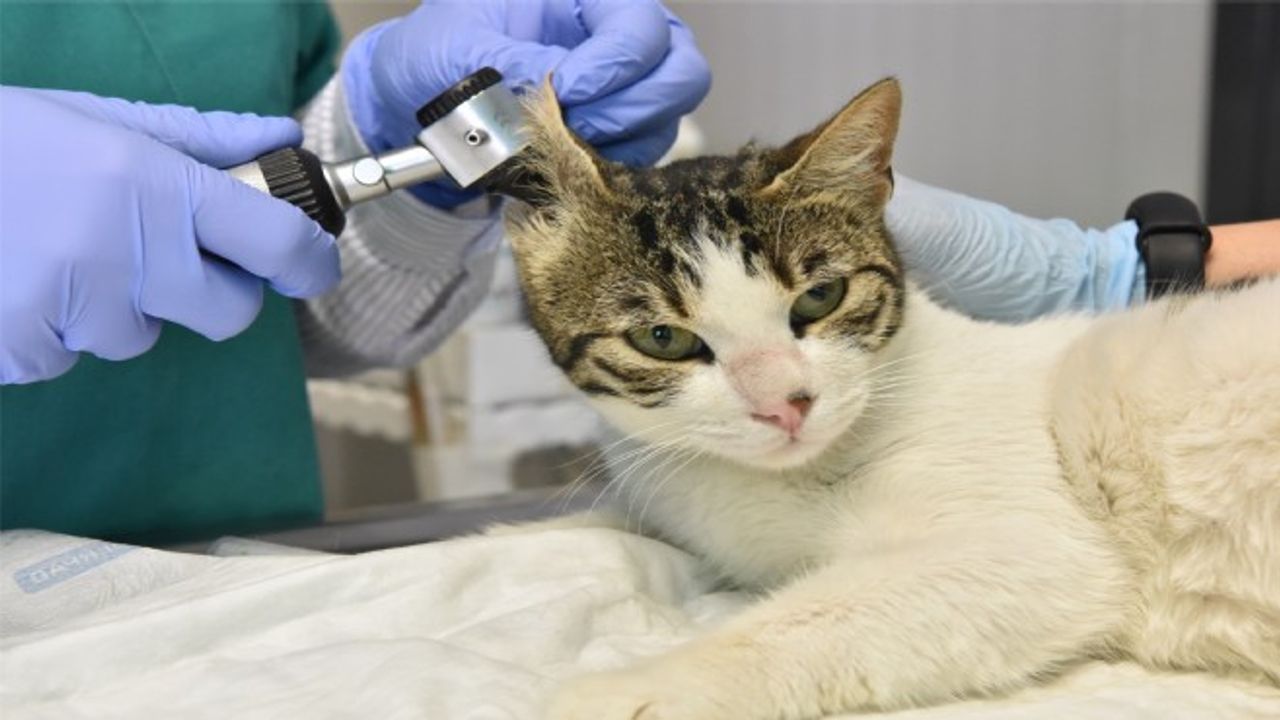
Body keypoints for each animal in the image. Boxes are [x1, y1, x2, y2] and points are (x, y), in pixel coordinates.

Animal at [497, 77, 1280, 719]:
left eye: (820, 297)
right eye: (662, 338)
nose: (786, 403)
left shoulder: (1027, 547)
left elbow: (815, 618)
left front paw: (625, 690)